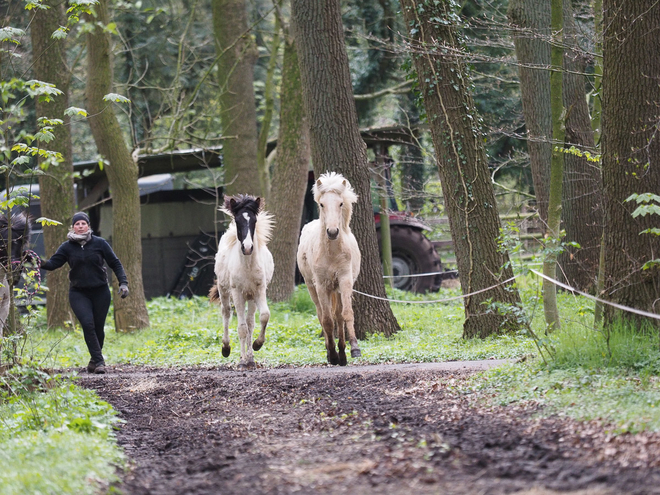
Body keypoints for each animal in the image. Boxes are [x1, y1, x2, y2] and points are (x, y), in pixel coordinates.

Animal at [298, 172, 360, 366]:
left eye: (340, 203)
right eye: (321, 204)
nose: (332, 232)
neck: (332, 252)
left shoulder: (345, 280)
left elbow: (346, 314)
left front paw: (354, 348)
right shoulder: (321, 285)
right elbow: (326, 320)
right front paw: (332, 354)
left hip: (337, 289)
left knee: (338, 315)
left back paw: (343, 353)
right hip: (312, 287)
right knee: (321, 314)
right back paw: (331, 352)